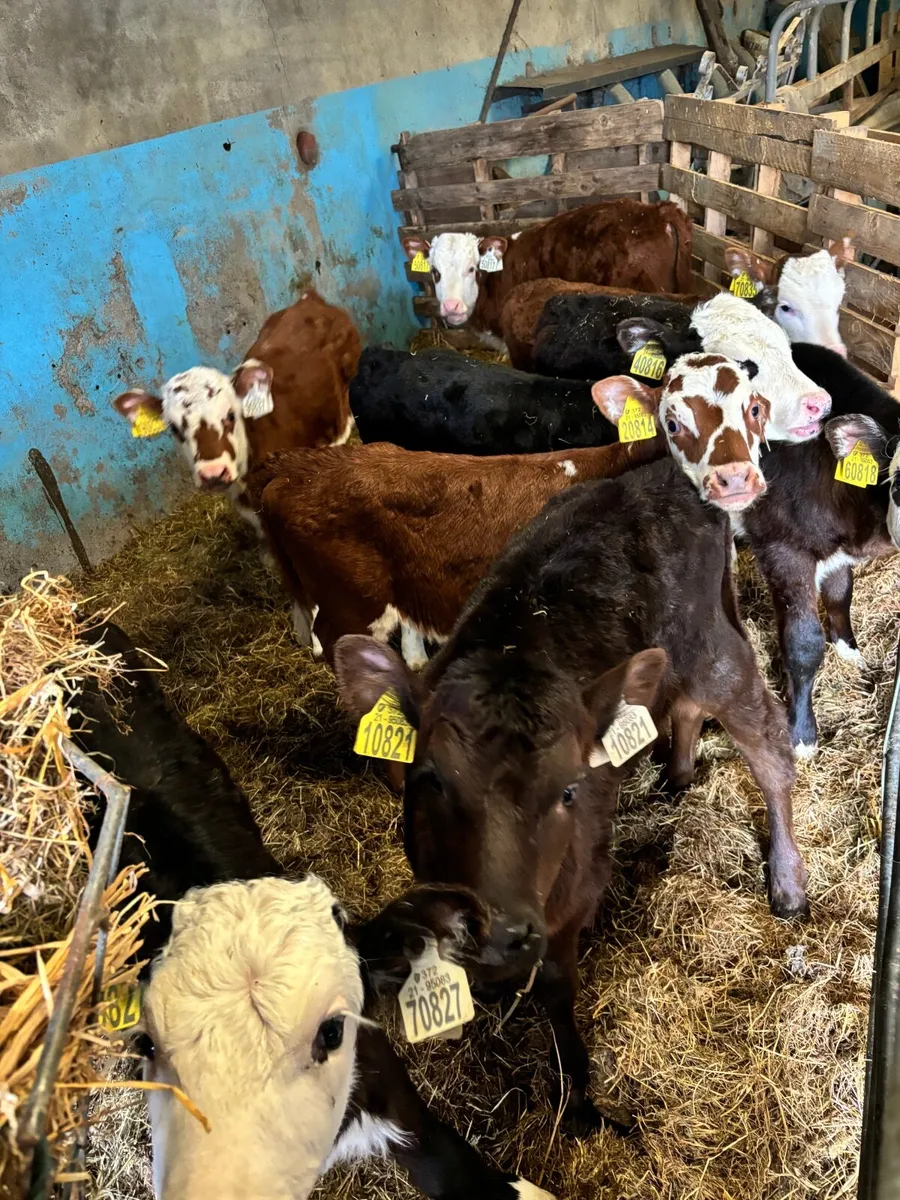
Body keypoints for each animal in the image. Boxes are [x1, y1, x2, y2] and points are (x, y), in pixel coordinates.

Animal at [333, 361, 808, 1136]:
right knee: (680, 703)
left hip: (715, 648)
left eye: (568, 790)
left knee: (767, 746)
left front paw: (580, 1093)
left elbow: (557, 986)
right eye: (429, 779)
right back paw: (677, 774)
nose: (498, 928)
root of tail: (668, 478)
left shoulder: (574, 897)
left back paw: (788, 881)